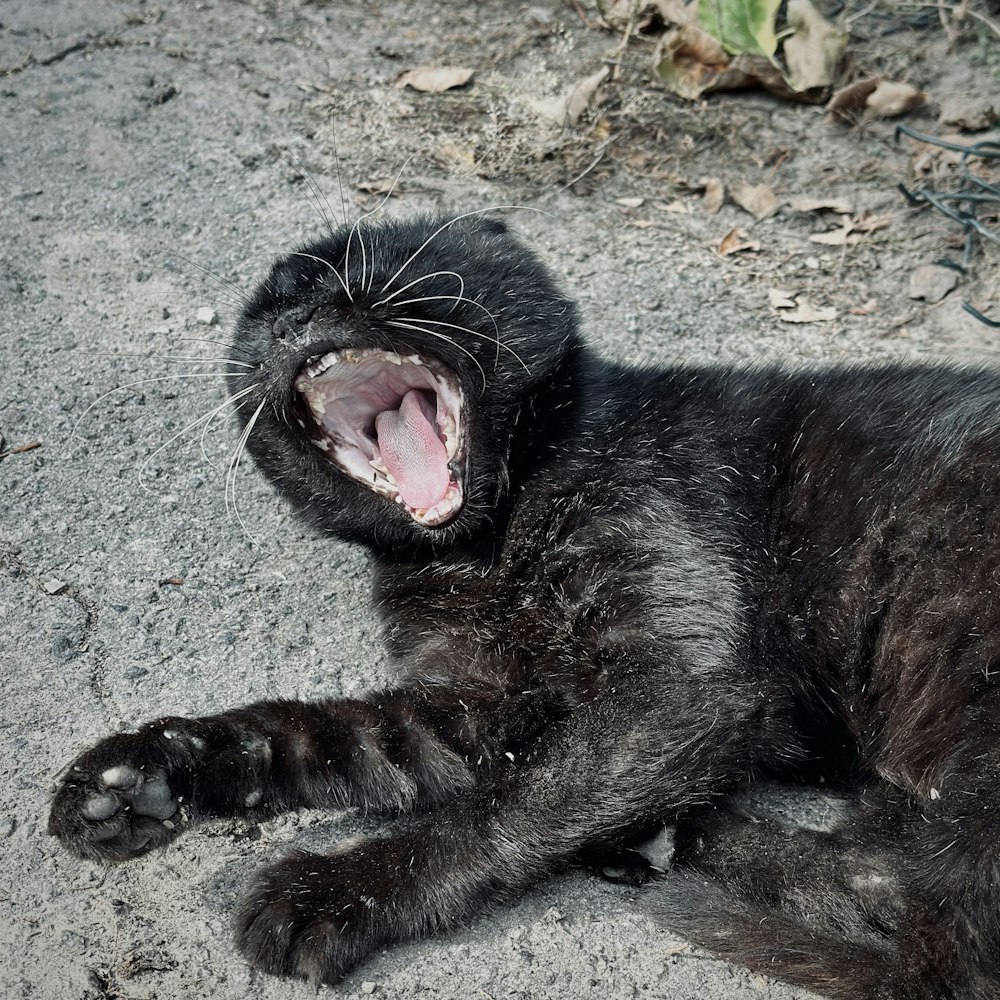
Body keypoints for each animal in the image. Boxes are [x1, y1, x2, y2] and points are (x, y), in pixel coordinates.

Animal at [50, 215, 1000, 996]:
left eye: (361, 269)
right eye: (257, 322)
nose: (292, 322)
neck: (484, 543)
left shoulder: (673, 682)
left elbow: (504, 809)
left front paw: (336, 891)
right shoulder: (478, 702)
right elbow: (311, 734)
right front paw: (138, 778)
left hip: (958, 668)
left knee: (917, 912)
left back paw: (672, 843)